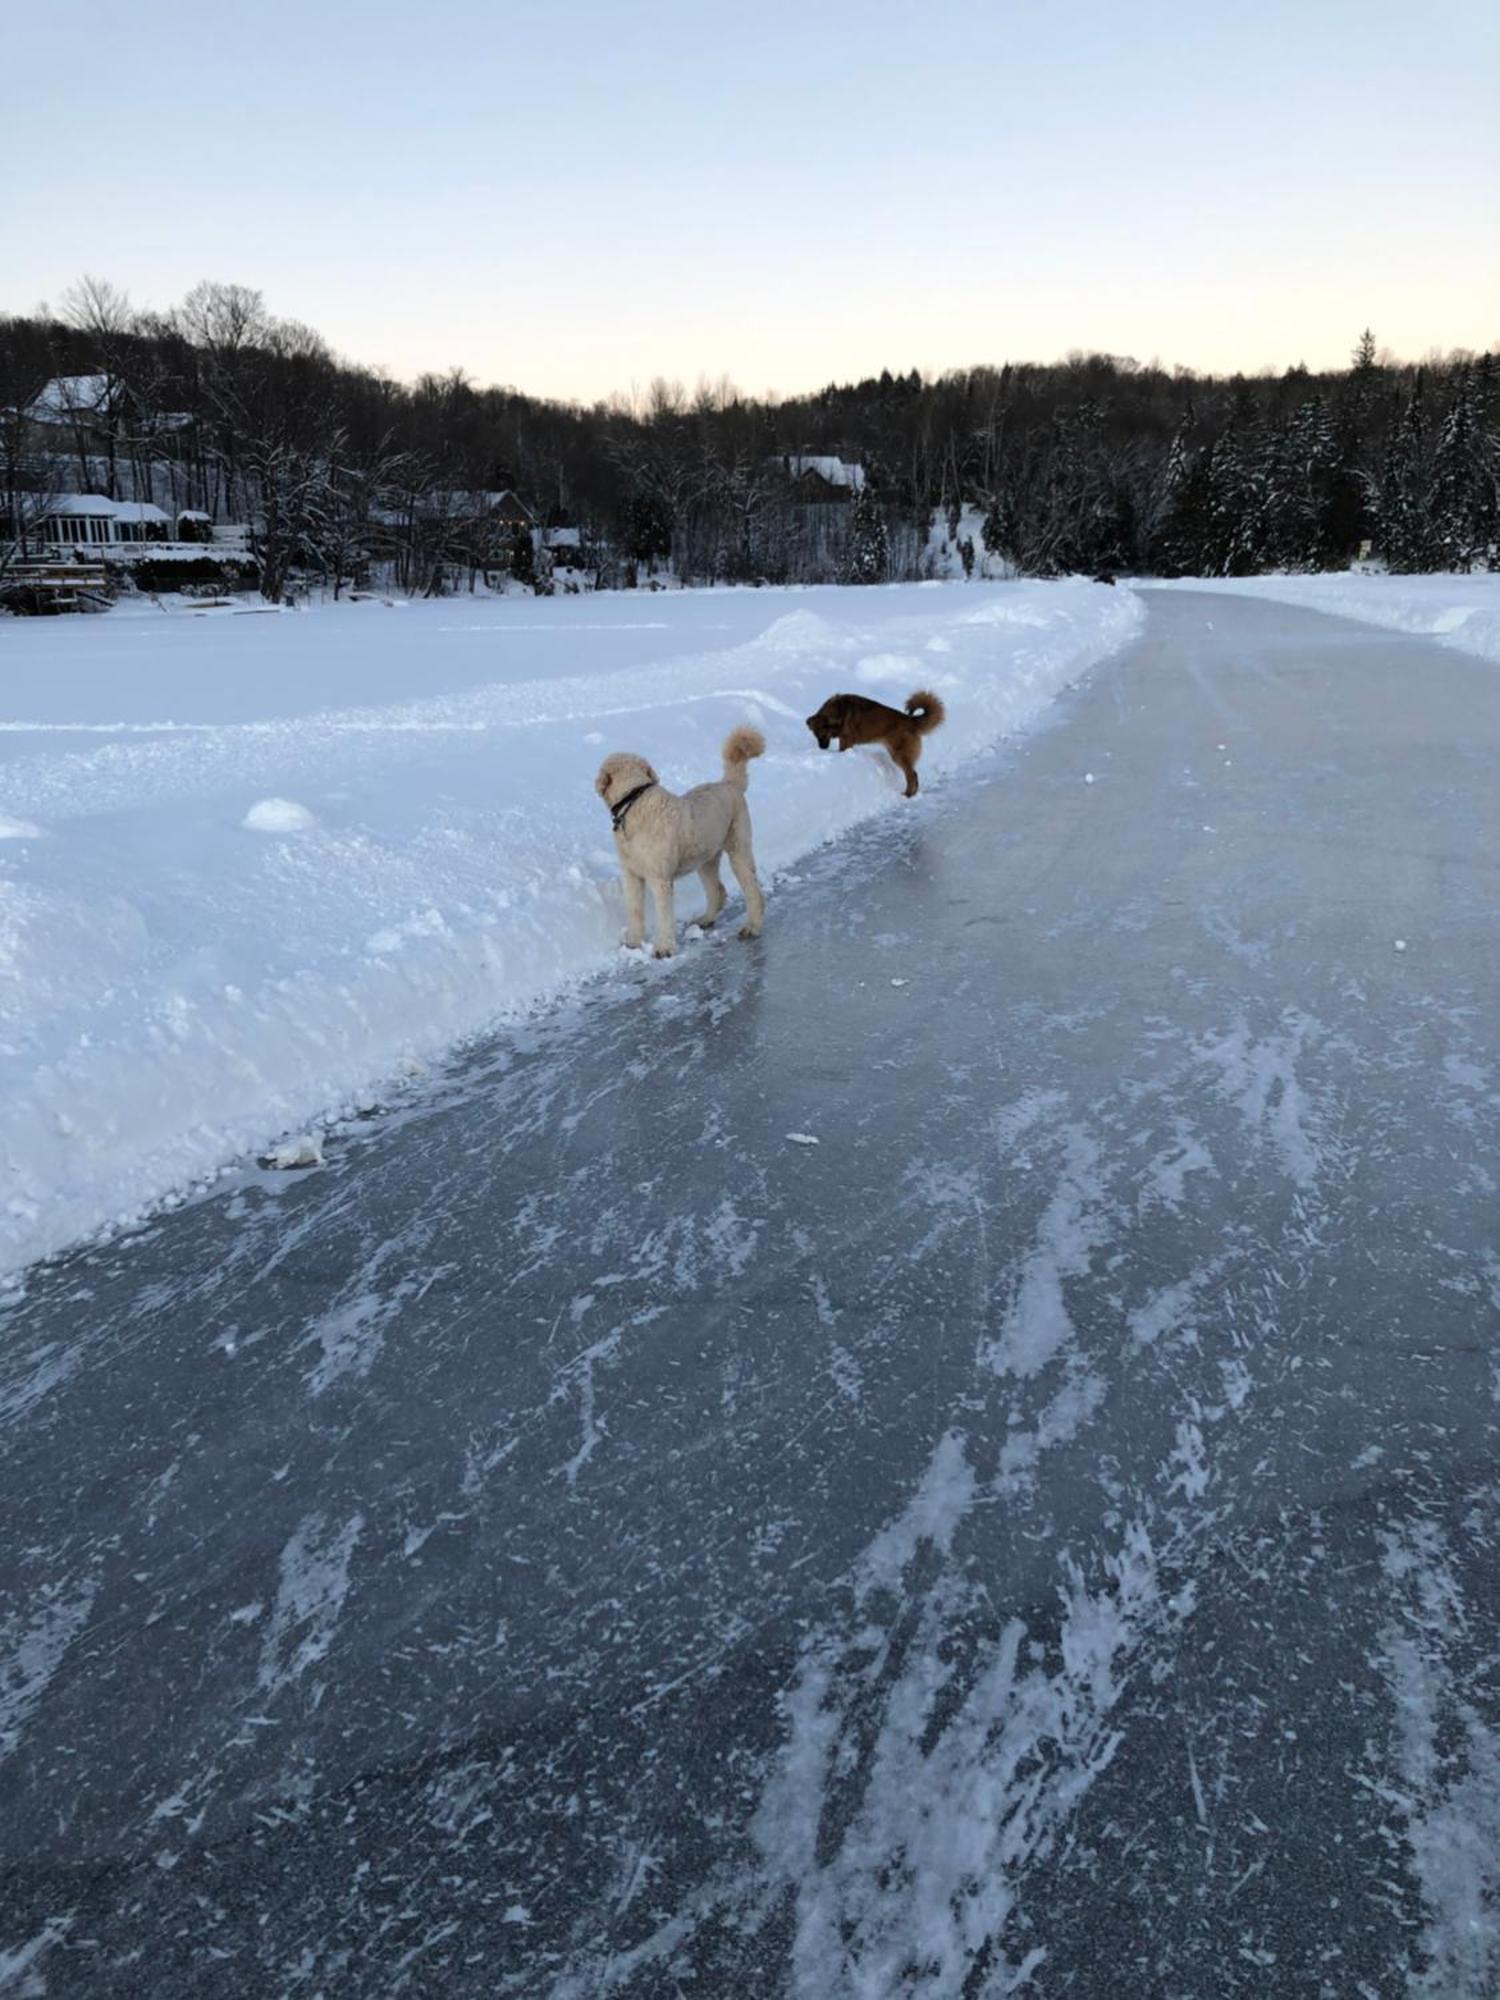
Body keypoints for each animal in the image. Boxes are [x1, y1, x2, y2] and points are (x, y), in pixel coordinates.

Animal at [592, 728, 768, 960]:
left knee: (753, 891)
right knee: (717, 890)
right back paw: (706, 918)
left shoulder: (660, 879)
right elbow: (635, 910)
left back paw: (752, 926)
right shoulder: (631, 875)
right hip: (706, 858)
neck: (634, 802)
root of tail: (729, 784)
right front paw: (633, 942)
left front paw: (664, 948)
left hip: (739, 849)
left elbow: (664, 915)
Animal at [804, 688, 944, 796]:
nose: (822, 748)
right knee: (915, 774)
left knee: (911, 775)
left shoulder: (846, 739)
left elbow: (843, 749)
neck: (839, 711)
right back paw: (913, 794)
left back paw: (908, 794)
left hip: (899, 755)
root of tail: (910, 720)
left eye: (822, 735)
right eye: (815, 736)